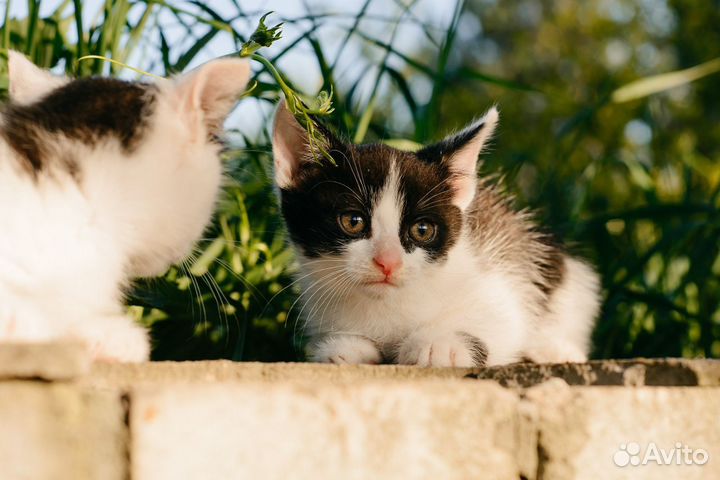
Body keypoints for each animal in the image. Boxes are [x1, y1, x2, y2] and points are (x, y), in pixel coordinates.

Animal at [272, 99, 600, 366]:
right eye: (353, 221)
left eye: (422, 230)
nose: (388, 262)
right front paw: (342, 347)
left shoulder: (501, 285)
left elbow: (504, 322)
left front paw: (442, 345)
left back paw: (555, 349)